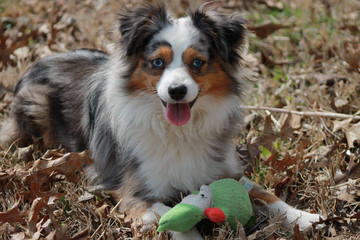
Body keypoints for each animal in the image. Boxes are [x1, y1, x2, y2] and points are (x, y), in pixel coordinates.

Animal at [0, 2, 320, 239]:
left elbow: (262, 191)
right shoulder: (128, 186)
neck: (178, 130)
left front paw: (303, 216)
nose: (176, 91)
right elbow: (163, 213)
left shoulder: (223, 168)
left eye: (197, 63)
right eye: (157, 63)